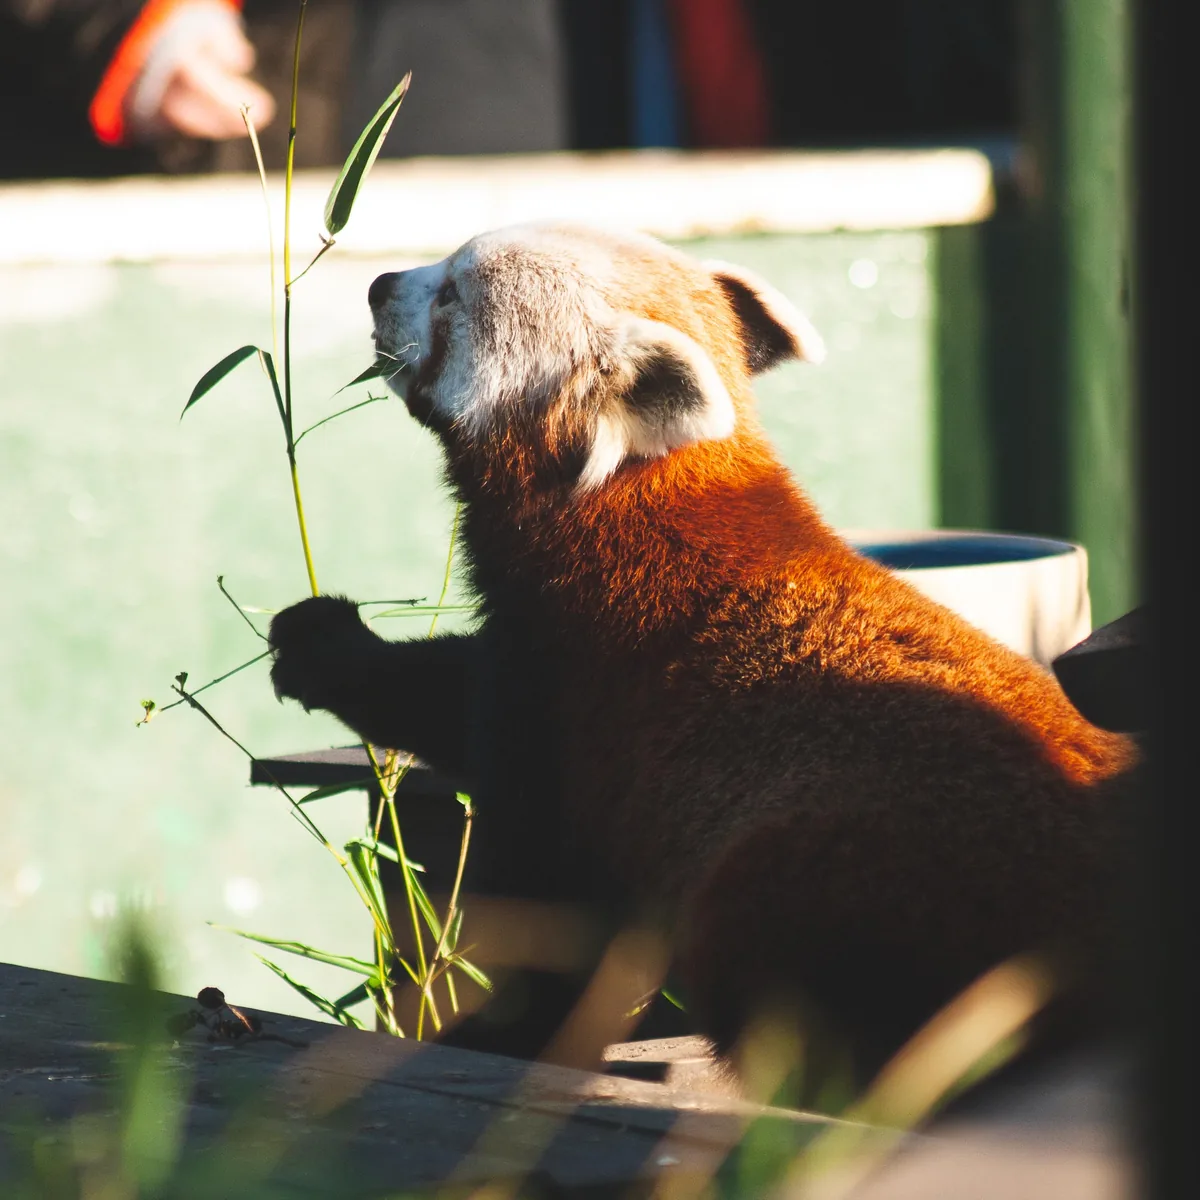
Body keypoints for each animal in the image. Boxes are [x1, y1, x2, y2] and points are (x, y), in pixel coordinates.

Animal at [268, 222, 1136, 1097]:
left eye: (449, 293)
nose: (378, 285)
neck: (630, 496)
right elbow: (449, 695)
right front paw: (319, 644)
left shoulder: (577, 697)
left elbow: (547, 897)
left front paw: (496, 1032)